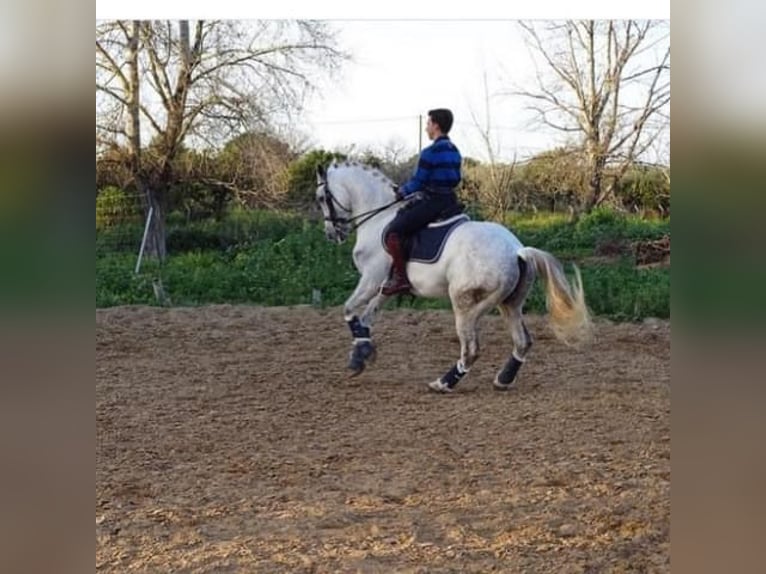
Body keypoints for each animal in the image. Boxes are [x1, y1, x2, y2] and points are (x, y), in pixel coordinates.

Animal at [316, 162, 596, 396]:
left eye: (320, 198)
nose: (331, 234)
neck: (378, 219)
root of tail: (516, 250)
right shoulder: (387, 287)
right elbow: (366, 317)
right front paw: (362, 353)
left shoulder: (372, 280)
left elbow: (349, 309)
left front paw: (358, 357)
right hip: (510, 304)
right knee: (522, 342)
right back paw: (502, 380)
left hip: (464, 302)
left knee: (471, 349)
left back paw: (443, 383)